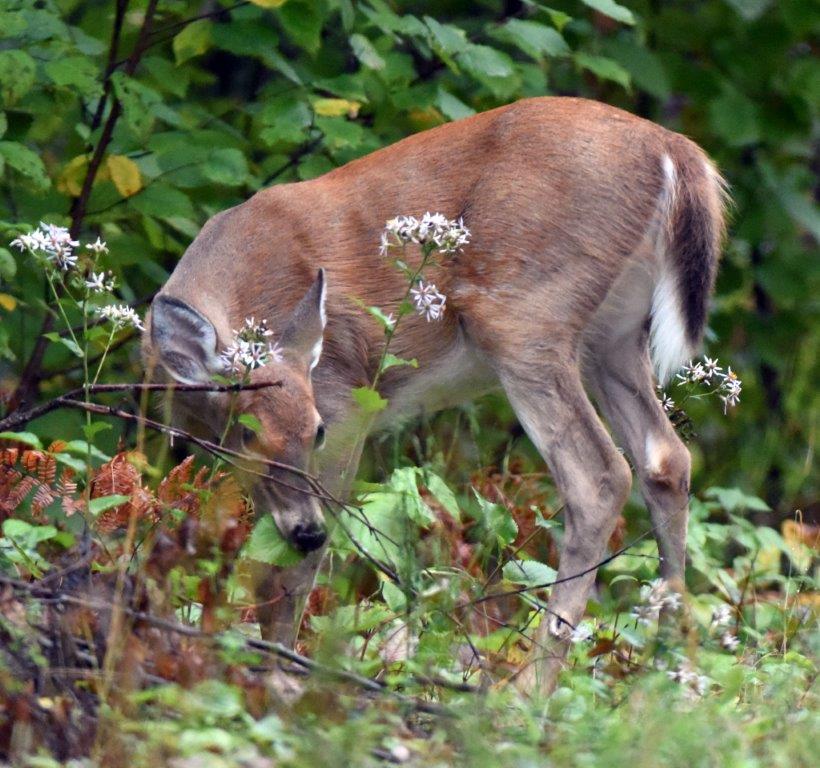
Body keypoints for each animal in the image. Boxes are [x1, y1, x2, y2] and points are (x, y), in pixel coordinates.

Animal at [142, 96, 727, 693]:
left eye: (318, 429)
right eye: (245, 430)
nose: (306, 532)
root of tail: (673, 150)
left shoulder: (345, 397)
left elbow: (286, 569)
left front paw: (278, 670)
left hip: (525, 315)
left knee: (600, 475)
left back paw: (529, 686)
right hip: (613, 331)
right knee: (667, 459)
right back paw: (665, 671)